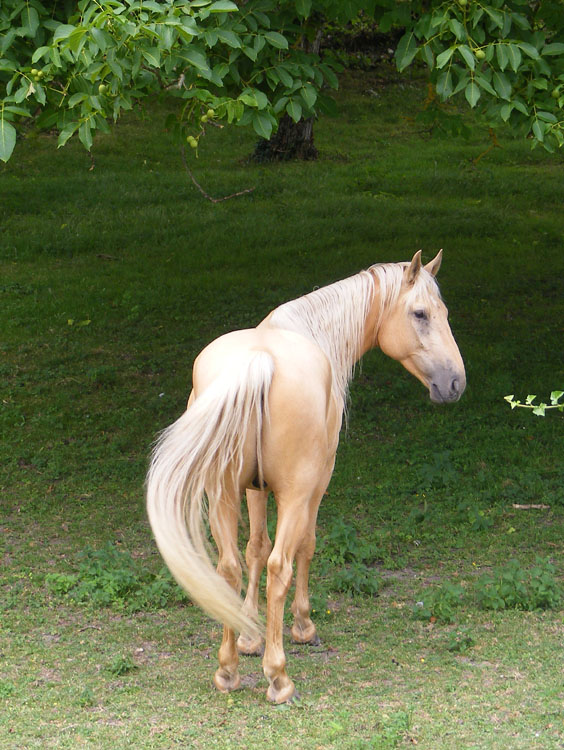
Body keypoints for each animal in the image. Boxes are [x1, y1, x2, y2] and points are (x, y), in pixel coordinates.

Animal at [146, 250, 466, 704]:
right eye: (420, 313)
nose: (455, 382)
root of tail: (258, 362)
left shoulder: (255, 490)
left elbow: (254, 549)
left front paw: (249, 635)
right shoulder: (316, 484)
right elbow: (305, 547)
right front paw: (301, 626)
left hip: (223, 493)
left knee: (230, 566)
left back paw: (228, 670)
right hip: (294, 494)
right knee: (280, 566)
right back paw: (278, 677)